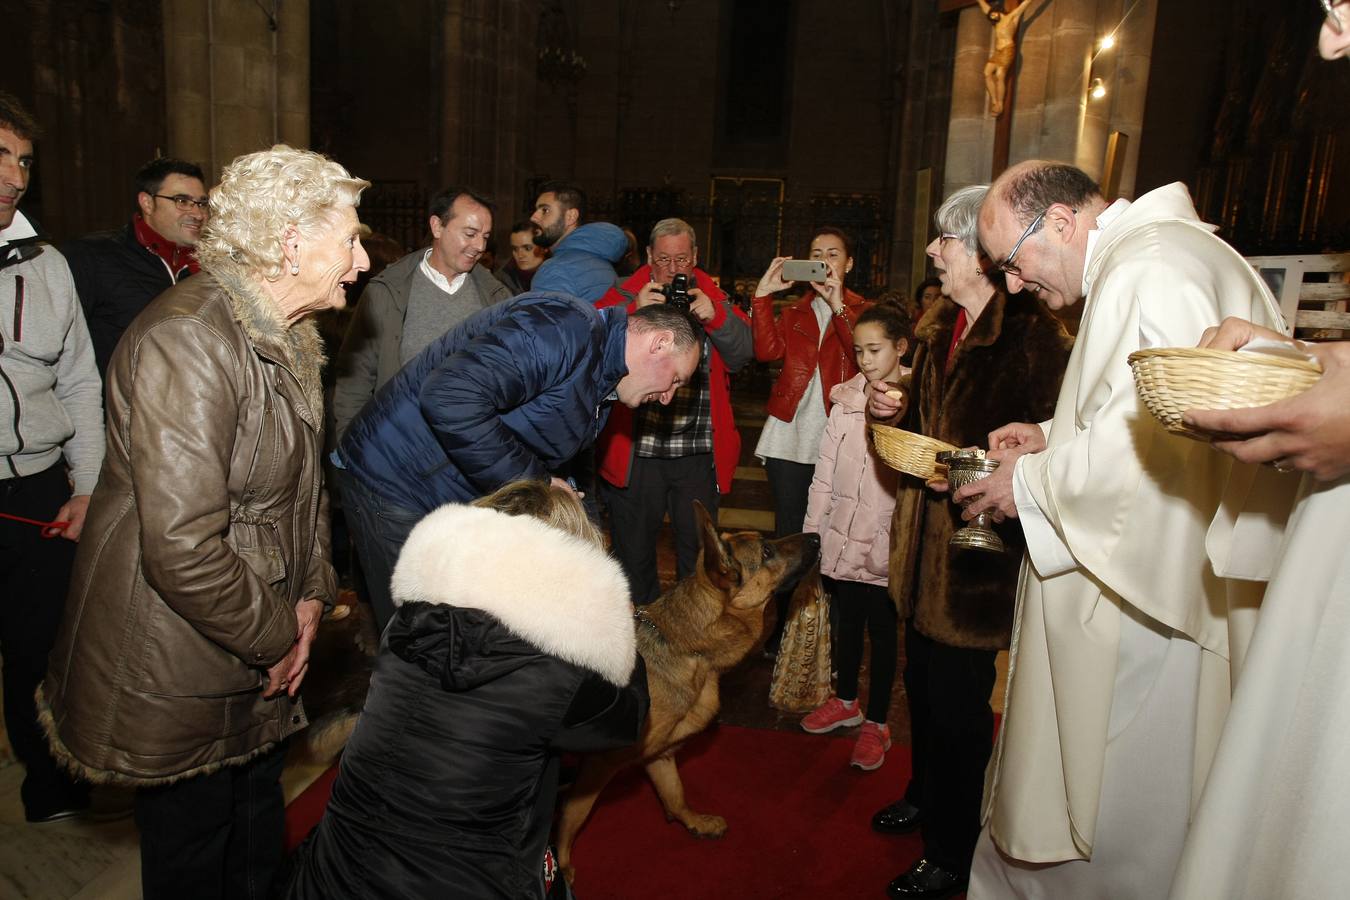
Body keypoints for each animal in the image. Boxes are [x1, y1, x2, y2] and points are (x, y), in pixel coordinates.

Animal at [553, 504, 815, 885]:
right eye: (766, 551)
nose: (817, 537)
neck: (688, 646)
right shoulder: (600, 765)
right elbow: (574, 814)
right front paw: (562, 864)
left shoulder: (660, 755)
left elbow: (675, 795)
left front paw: (692, 822)